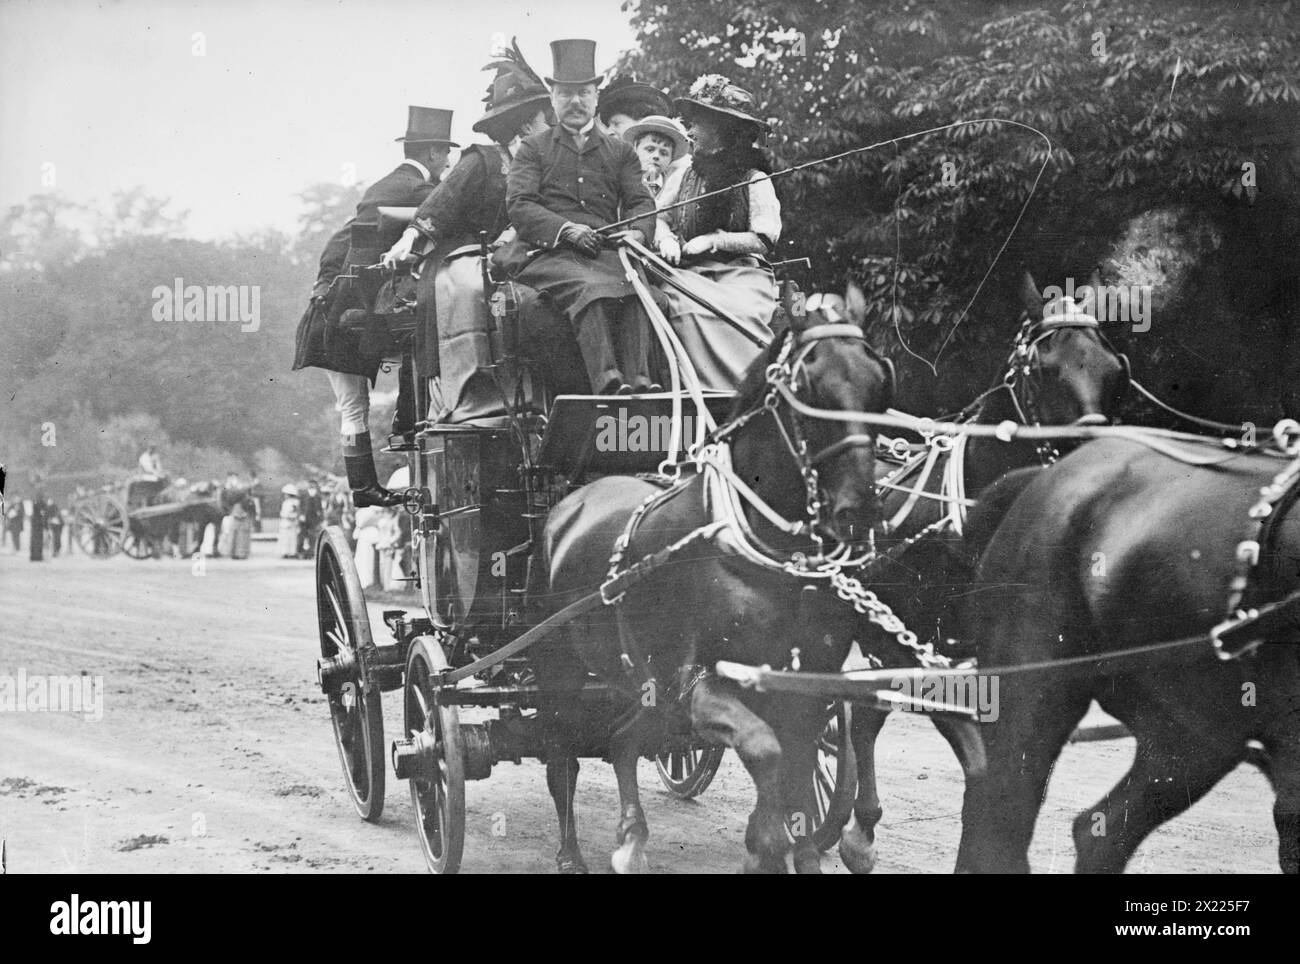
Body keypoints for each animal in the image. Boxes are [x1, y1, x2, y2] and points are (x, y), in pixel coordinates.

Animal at [538, 307, 915, 878]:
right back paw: (570, 853)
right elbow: (766, 751)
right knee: (562, 755)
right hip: (565, 672)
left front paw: (811, 847)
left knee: (623, 741)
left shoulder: (806, 687)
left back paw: (631, 839)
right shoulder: (700, 685)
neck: (772, 562)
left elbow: (803, 773)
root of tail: (572, 502)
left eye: (878, 383)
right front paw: (765, 846)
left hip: (647, 688)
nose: (861, 511)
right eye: (807, 388)